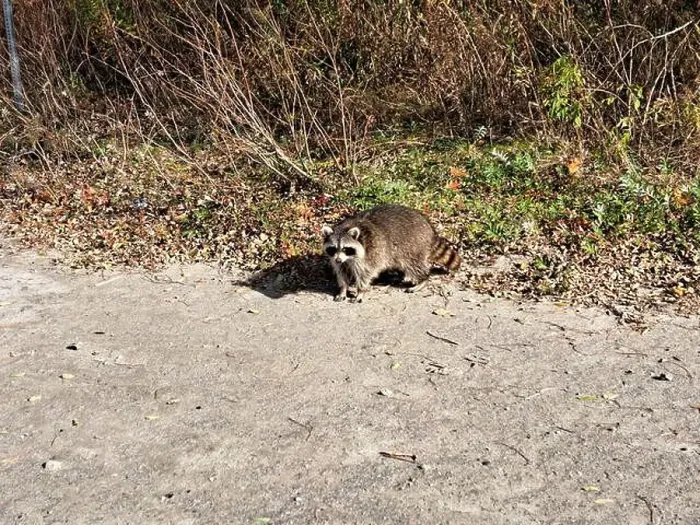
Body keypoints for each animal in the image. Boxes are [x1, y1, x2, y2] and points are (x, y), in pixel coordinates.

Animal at [321, 204, 461, 302]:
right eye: (333, 248)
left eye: (346, 249)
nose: (338, 259)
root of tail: (429, 228)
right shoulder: (338, 260)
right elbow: (342, 272)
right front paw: (343, 289)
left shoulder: (370, 255)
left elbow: (365, 274)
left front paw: (360, 291)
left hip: (412, 245)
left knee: (413, 265)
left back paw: (423, 280)